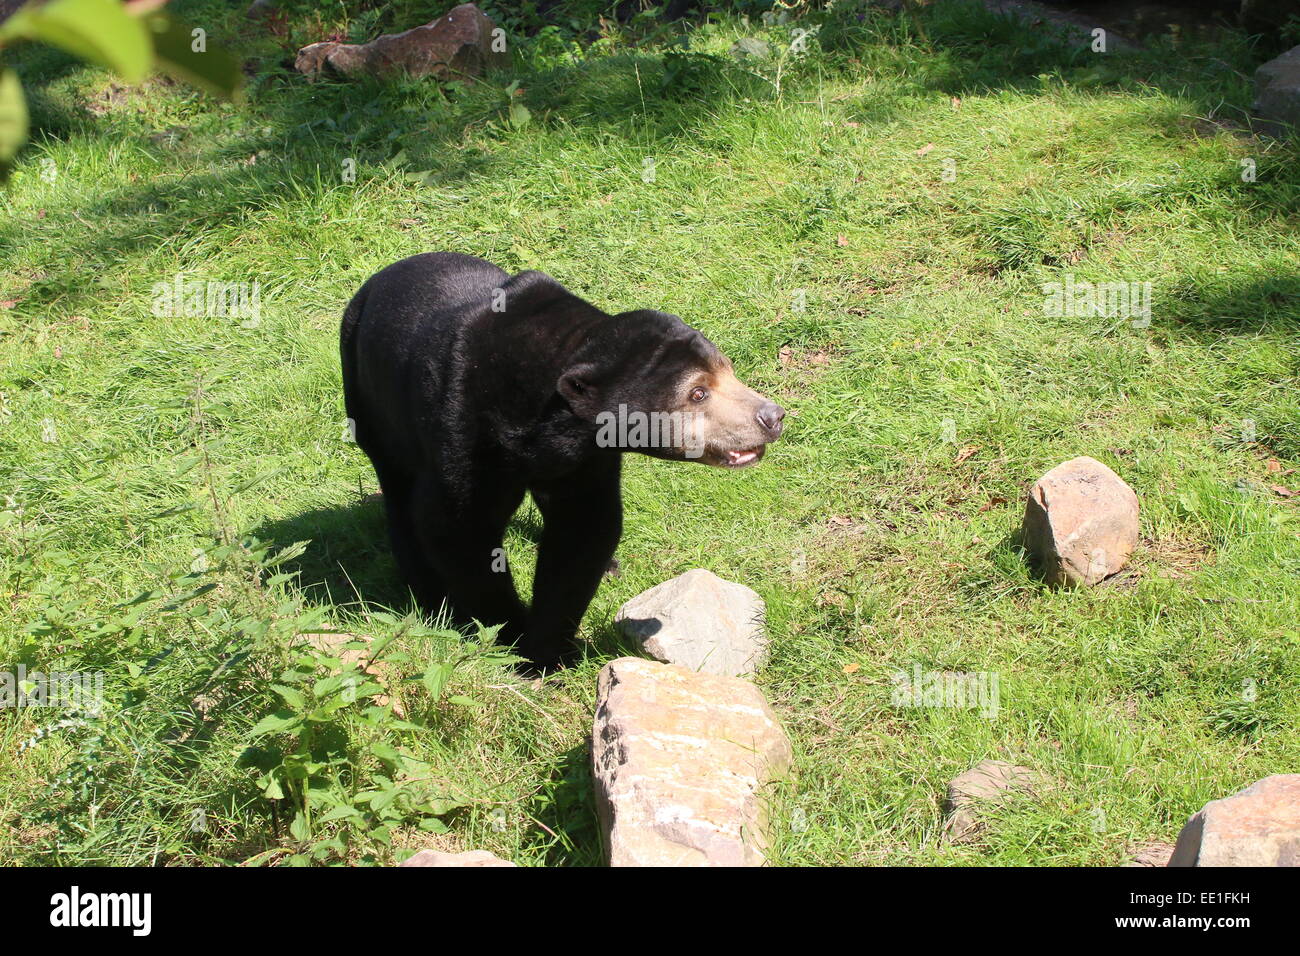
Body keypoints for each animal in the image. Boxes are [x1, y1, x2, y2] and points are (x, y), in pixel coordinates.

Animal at [340, 254, 780, 671]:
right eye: (698, 392)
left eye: (728, 370)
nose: (772, 416)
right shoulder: (463, 425)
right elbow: (457, 527)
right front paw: (512, 636)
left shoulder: (586, 459)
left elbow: (582, 530)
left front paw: (548, 650)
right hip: (368, 398)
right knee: (399, 493)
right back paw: (425, 589)